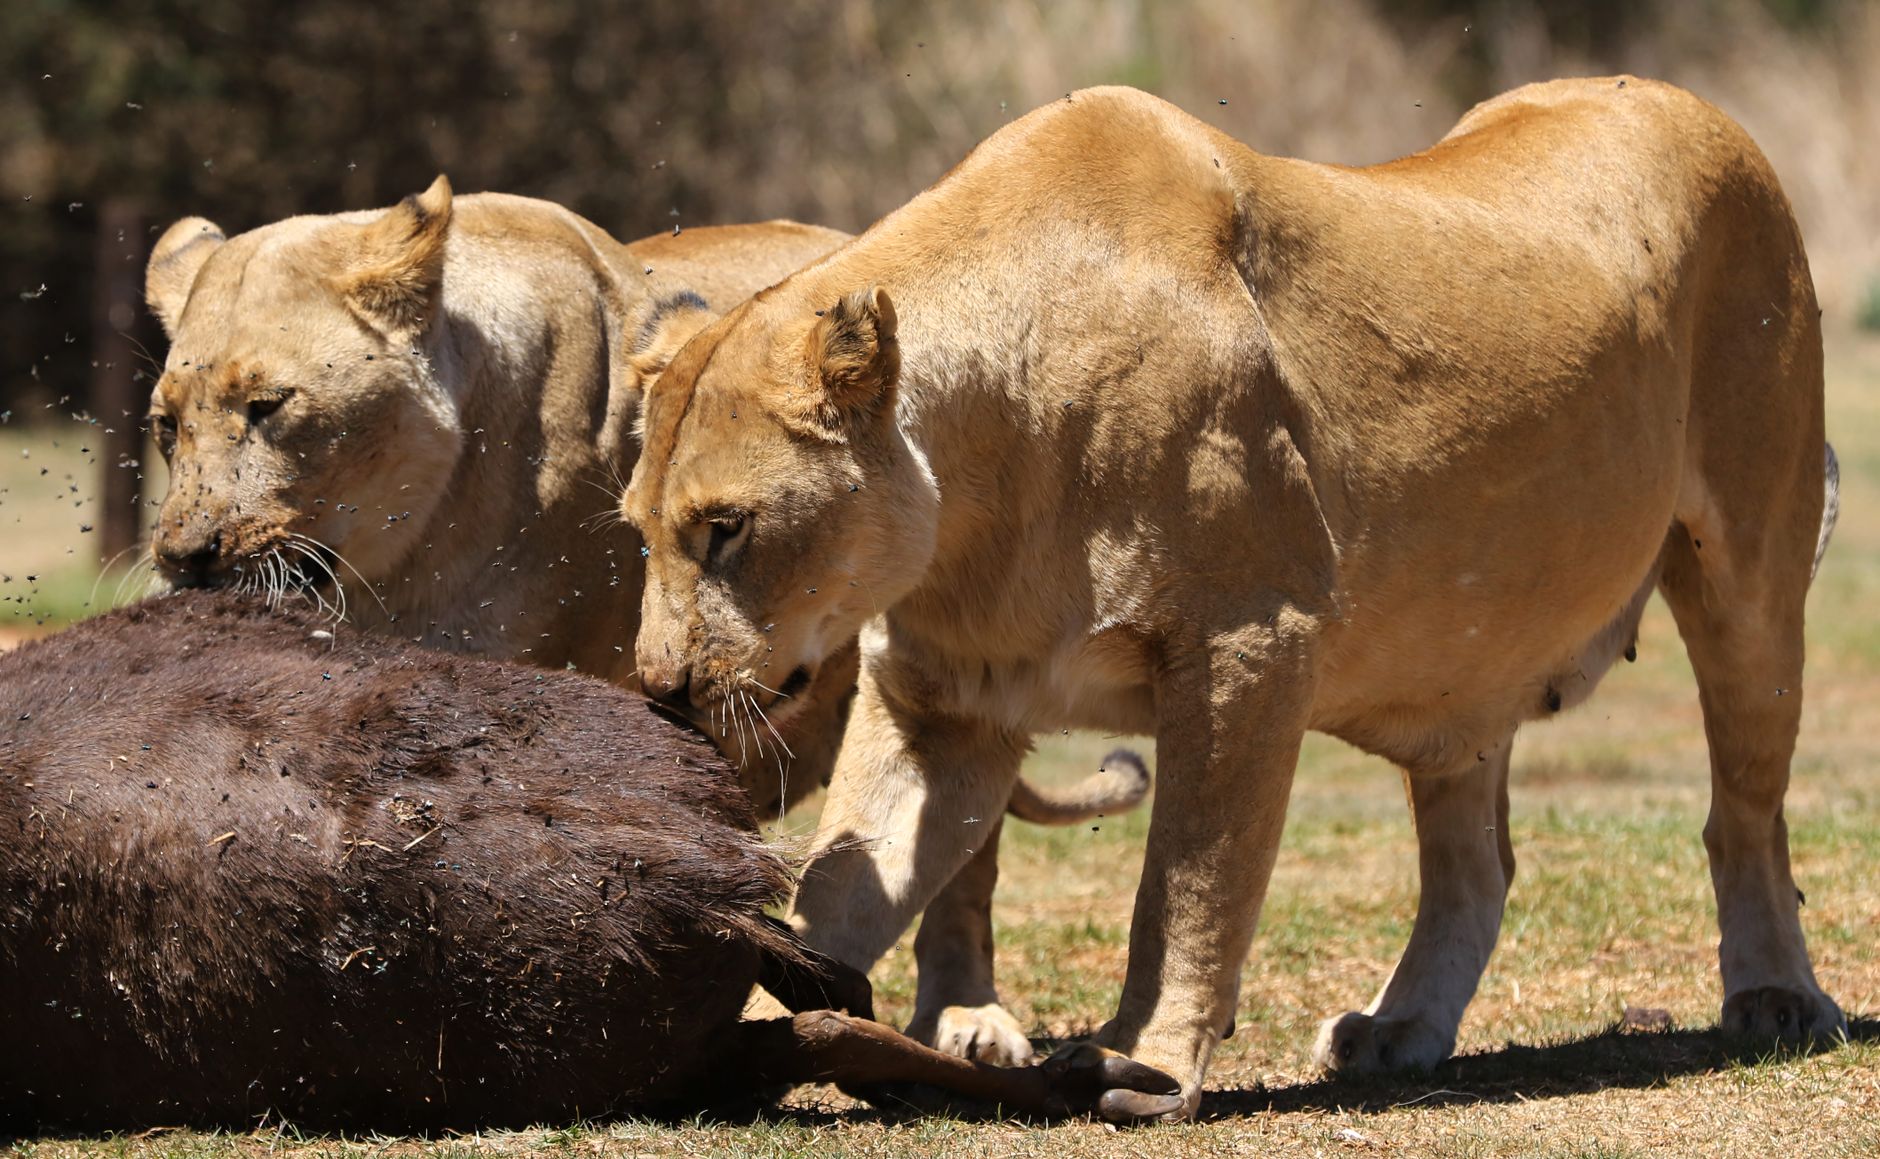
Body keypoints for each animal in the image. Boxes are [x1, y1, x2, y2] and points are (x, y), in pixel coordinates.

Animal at [621, 78, 1845, 1121]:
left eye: (725, 528)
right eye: (638, 529)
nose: (660, 689)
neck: (971, 486)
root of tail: (1692, 104)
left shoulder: (1246, 644)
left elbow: (1189, 882)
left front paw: (1149, 1060)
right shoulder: (945, 701)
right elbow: (845, 872)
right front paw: (739, 994)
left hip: (1753, 567)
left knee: (1744, 810)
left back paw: (1776, 997)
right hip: (1468, 655)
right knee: (1477, 864)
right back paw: (1398, 1025)